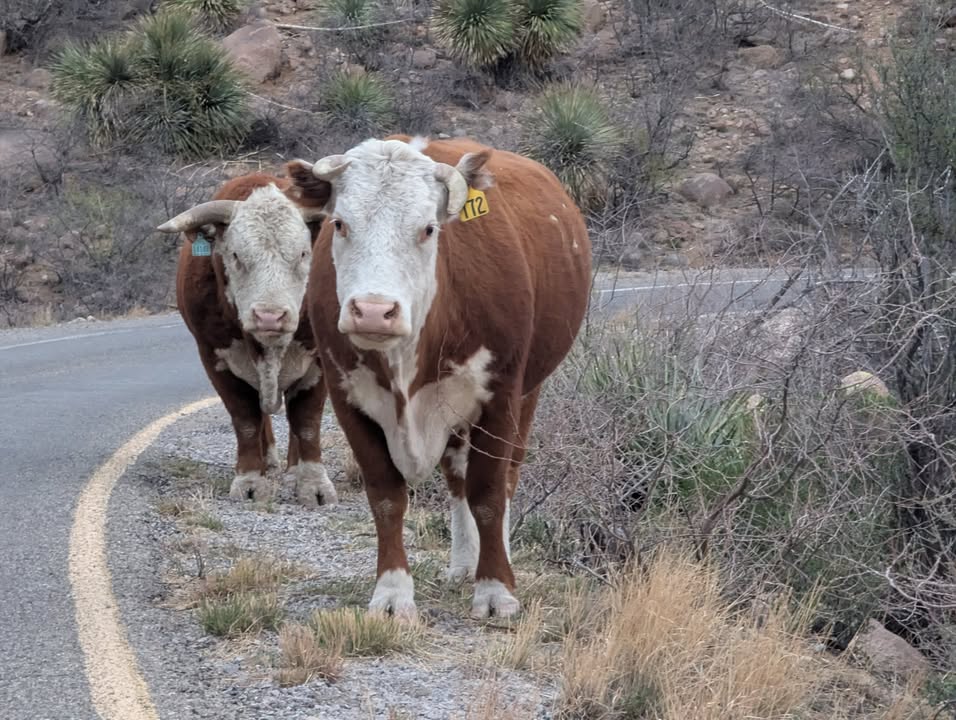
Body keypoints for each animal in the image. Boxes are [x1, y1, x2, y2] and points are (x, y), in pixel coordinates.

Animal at [156, 165, 340, 508]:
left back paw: (292, 470)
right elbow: (246, 421)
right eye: (237, 255)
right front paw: (251, 480)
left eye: (303, 253)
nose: (270, 316)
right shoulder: (215, 357)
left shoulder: (319, 360)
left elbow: (307, 422)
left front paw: (312, 484)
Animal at [295, 135, 591, 618]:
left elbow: (489, 495)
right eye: (339, 224)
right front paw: (393, 593)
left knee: (505, 478)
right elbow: (386, 497)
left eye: (428, 229)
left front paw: (496, 590)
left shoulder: (500, 394)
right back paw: (464, 563)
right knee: (457, 478)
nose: (373, 310)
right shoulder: (347, 399)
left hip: (529, 391)